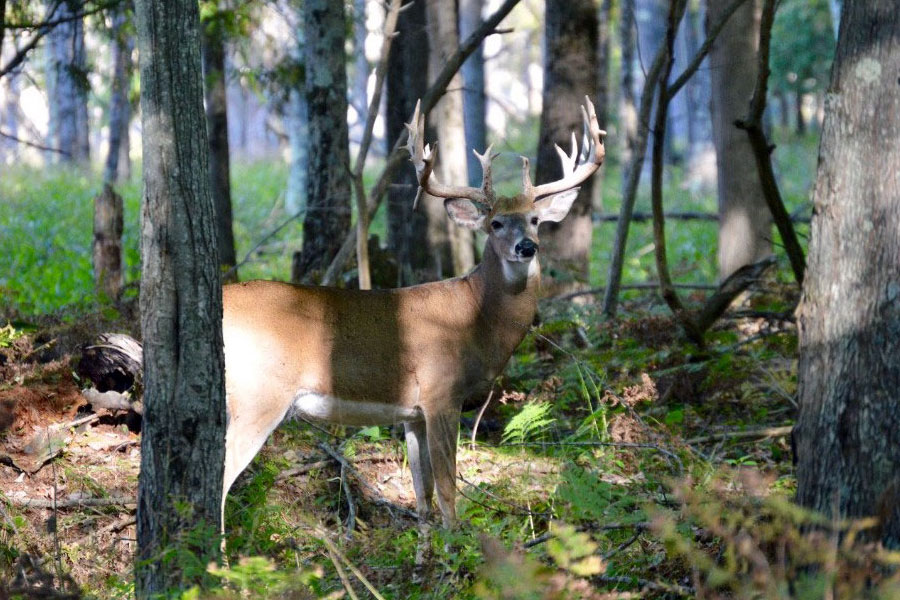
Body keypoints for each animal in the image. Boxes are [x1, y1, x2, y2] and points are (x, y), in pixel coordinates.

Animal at [221, 95, 608, 528]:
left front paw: (427, 540)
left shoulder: (412, 413)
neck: (476, 319)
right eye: (495, 223)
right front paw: (457, 540)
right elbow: (448, 490)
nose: (527, 247)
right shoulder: (442, 393)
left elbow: (423, 495)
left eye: (536, 219)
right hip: (257, 394)